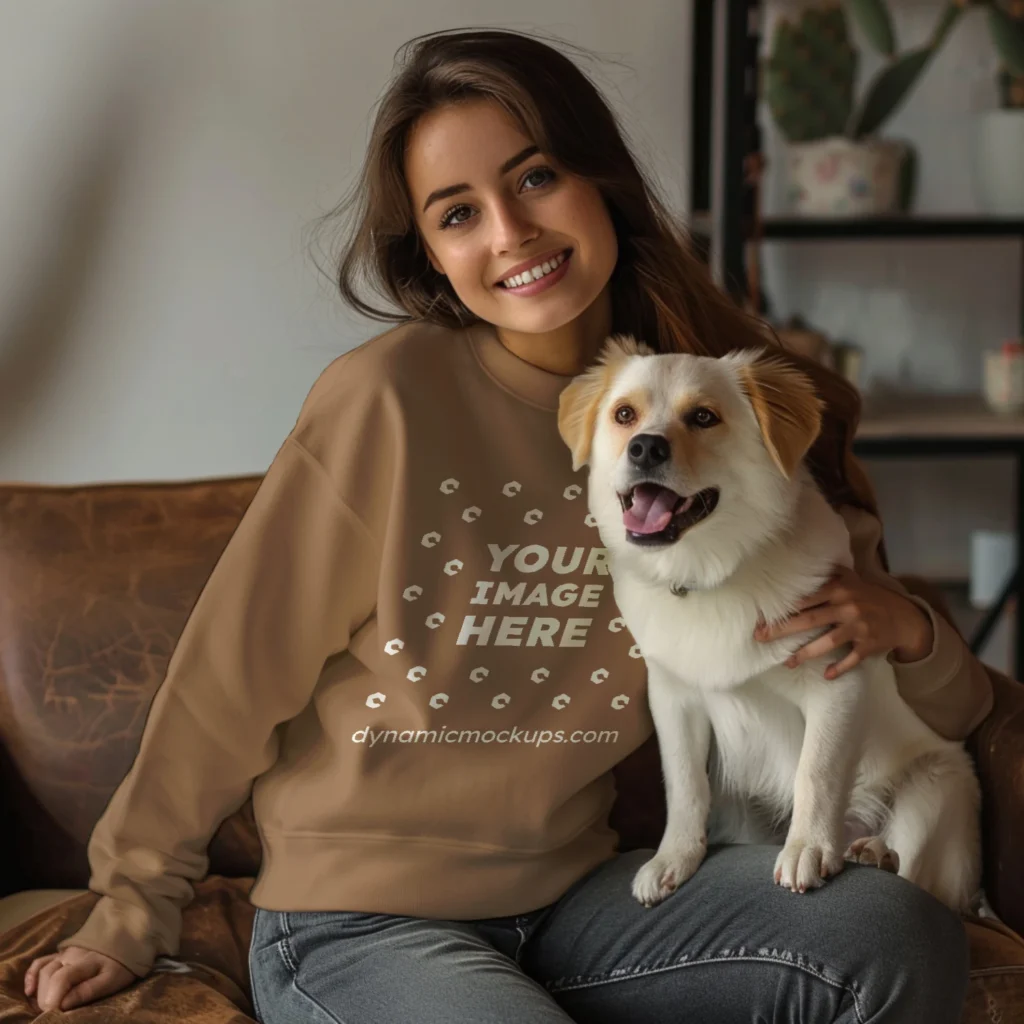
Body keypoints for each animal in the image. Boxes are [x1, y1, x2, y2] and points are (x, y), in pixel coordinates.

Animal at [561, 335, 983, 913]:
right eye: (624, 414)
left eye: (704, 417)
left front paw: (809, 848)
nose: (645, 448)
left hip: (935, 788)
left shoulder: (835, 682)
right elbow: (684, 785)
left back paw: (872, 851)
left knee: (918, 872)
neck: (711, 574)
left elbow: (816, 773)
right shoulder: (673, 699)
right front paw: (674, 858)